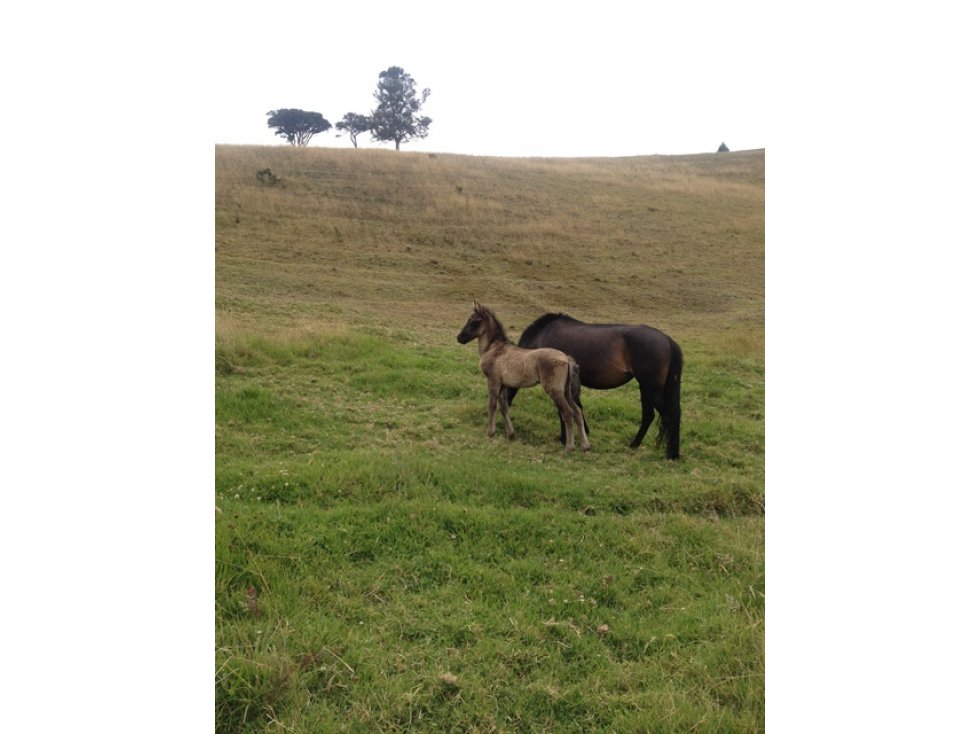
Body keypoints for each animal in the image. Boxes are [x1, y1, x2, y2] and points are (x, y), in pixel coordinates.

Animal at [458, 300, 588, 452]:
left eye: (474, 321)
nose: (459, 338)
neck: (494, 348)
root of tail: (566, 358)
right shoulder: (503, 384)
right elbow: (504, 407)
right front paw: (510, 434)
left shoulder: (493, 380)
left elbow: (492, 405)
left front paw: (490, 432)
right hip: (566, 390)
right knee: (577, 412)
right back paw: (585, 446)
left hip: (555, 390)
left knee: (568, 413)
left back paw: (569, 446)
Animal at [510, 314, 684, 462]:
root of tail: (667, 340)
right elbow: (577, 408)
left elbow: (564, 412)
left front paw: (564, 438)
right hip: (645, 388)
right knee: (649, 416)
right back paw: (634, 444)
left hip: (652, 389)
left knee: (669, 415)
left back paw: (671, 454)